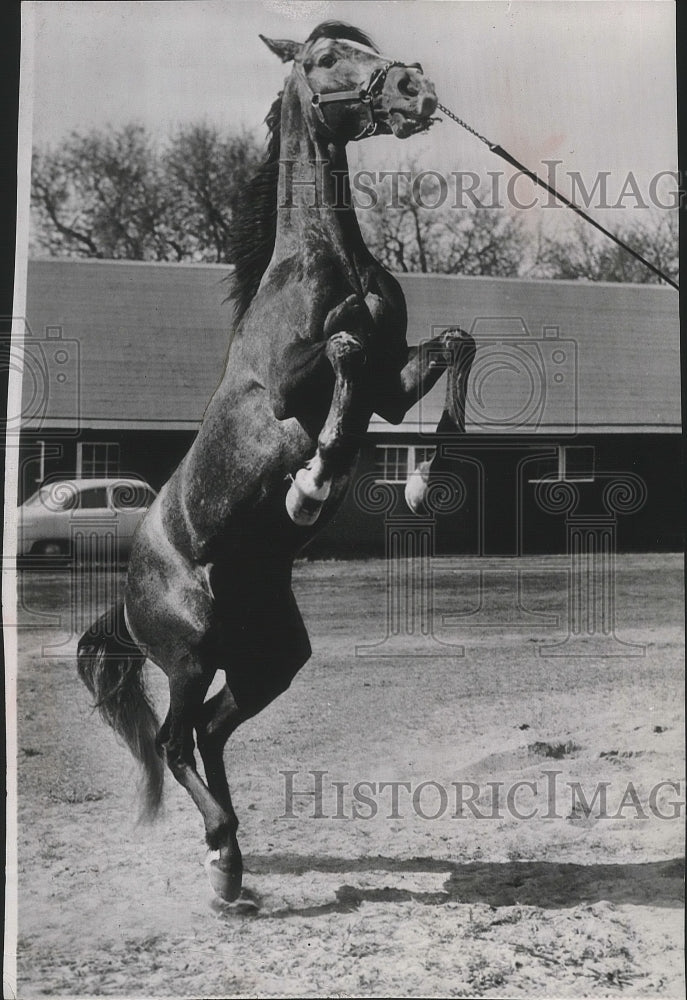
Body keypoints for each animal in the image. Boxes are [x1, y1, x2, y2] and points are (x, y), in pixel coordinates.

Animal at [78, 19, 476, 904]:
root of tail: (128, 599)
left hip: (269, 661)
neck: (326, 262)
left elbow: (452, 345)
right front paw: (308, 489)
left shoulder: (393, 386)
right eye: (325, 59)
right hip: (188, 653)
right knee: (174, 739)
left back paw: (228, 859)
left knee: (213, 731)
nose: (416, 90)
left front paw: (427, 481)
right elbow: (336, 371)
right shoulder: (295, 391)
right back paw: (224, 859)